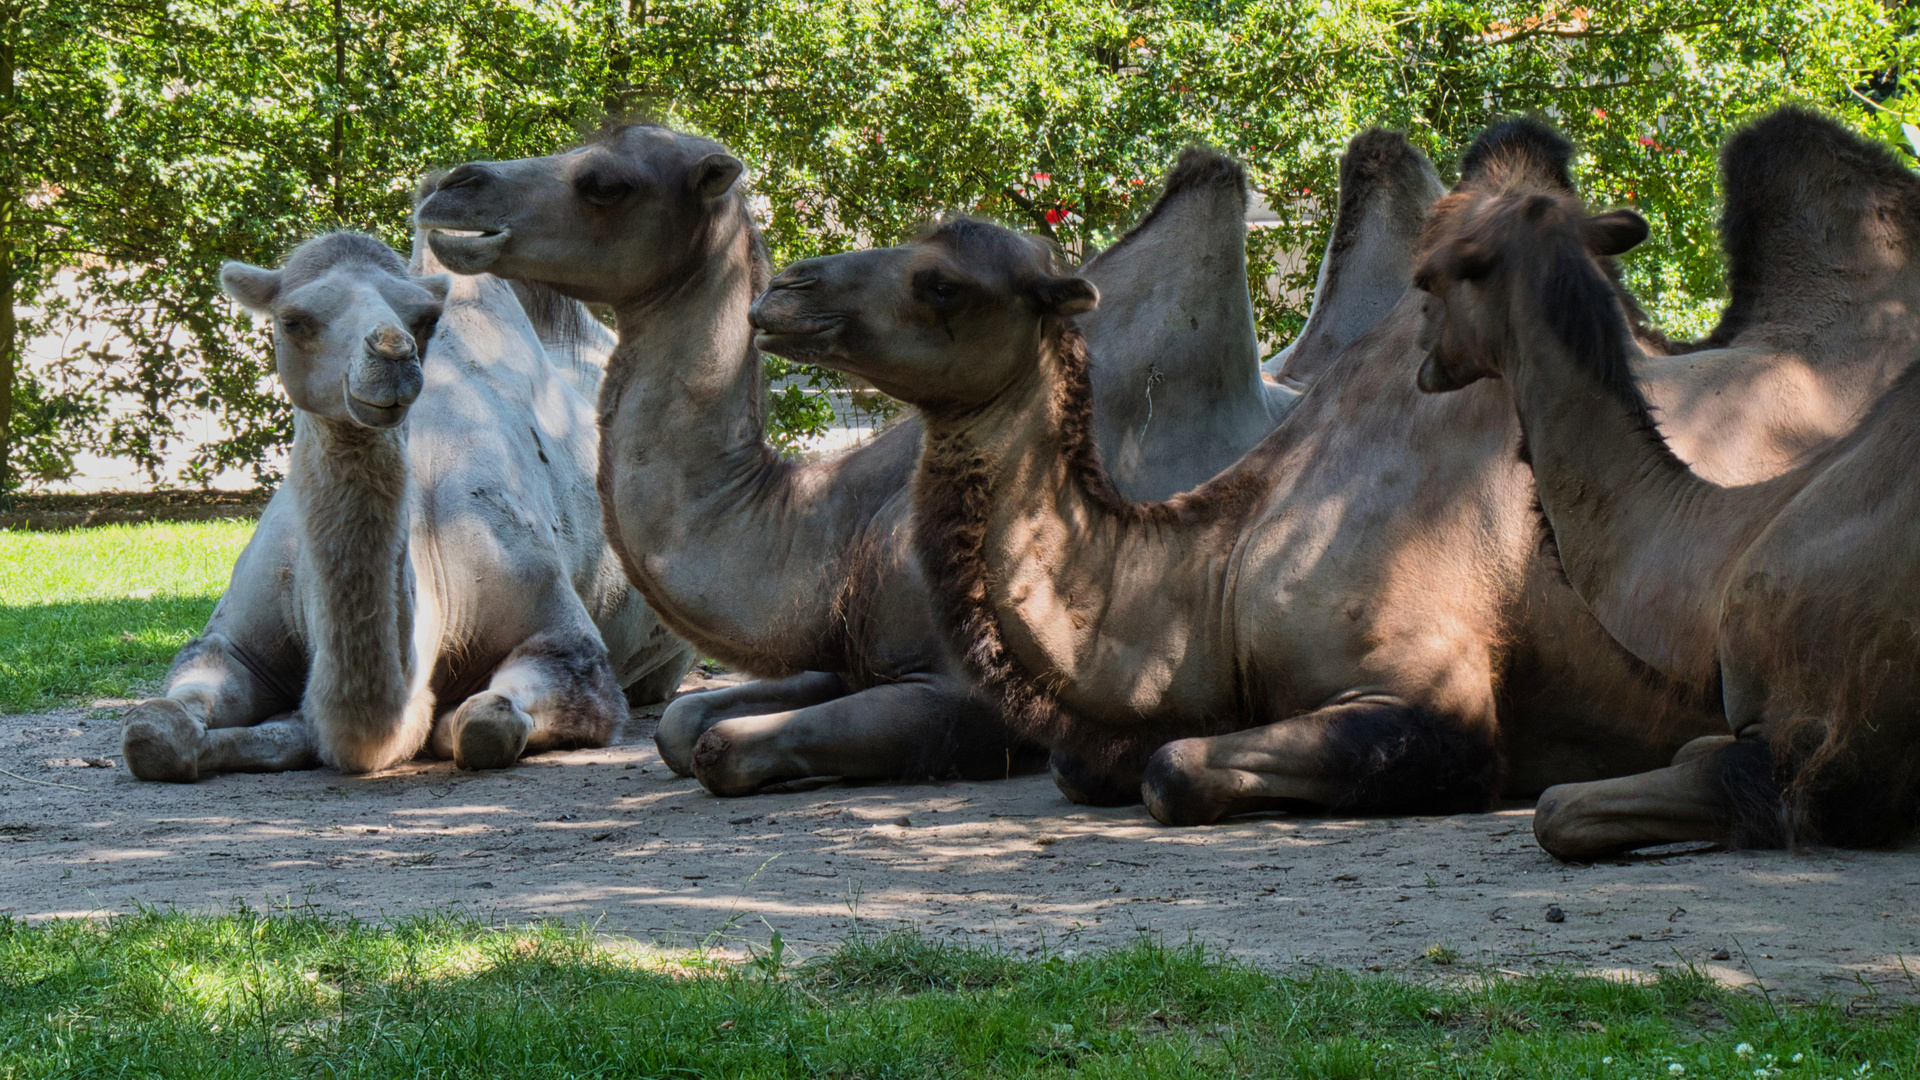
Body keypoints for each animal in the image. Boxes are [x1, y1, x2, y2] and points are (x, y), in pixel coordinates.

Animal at [118, 231, 691, 776]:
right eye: (293, 320)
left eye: (423, 318)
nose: (391, 354)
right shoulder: (229, 642)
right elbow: (151, 729)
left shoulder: (565, 642)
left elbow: (485, 721)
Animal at [416, 125, 1443, 795]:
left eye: (605, 183)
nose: (449, 186)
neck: (830, 533)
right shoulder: (857, 652)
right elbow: (678, 725)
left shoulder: (960, 687)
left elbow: (724, 748)